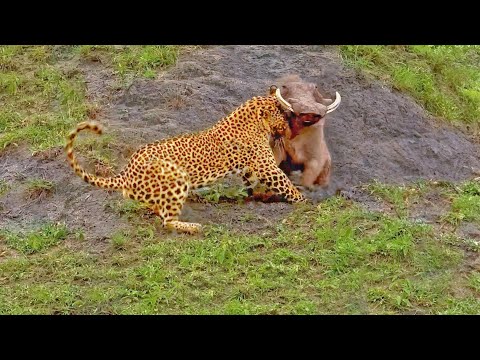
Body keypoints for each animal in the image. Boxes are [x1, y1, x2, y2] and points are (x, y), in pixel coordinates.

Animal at [65, 93, 306, 235]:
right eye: (282, 115)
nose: (289, 125)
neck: (253, 121)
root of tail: (126, 173)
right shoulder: (267, 166)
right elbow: (285, 185)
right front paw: (305, 201)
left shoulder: (252, 167)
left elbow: (253, 183)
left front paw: (260, 195)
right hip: (176, 177)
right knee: (167, 222)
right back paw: (193, 227)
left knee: (157, 210)